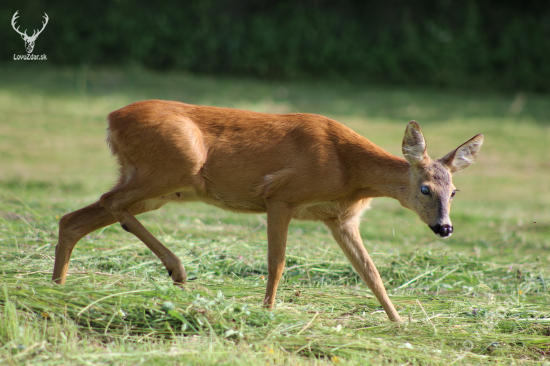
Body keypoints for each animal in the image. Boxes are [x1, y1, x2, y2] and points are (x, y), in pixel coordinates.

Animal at [50, 99, 484, 320]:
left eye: (455, 191)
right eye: (425, 188)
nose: (444, 228)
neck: (347, 169)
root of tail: (111, 117)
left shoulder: (339, 218)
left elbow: (371, 273)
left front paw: (399, 322)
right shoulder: (280, 195)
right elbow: (277, 262)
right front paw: (268, 311)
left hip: (160, 185)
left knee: (74, 218)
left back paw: (56, 288)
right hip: (173, 167)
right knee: (108, 203)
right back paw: (177, 268)